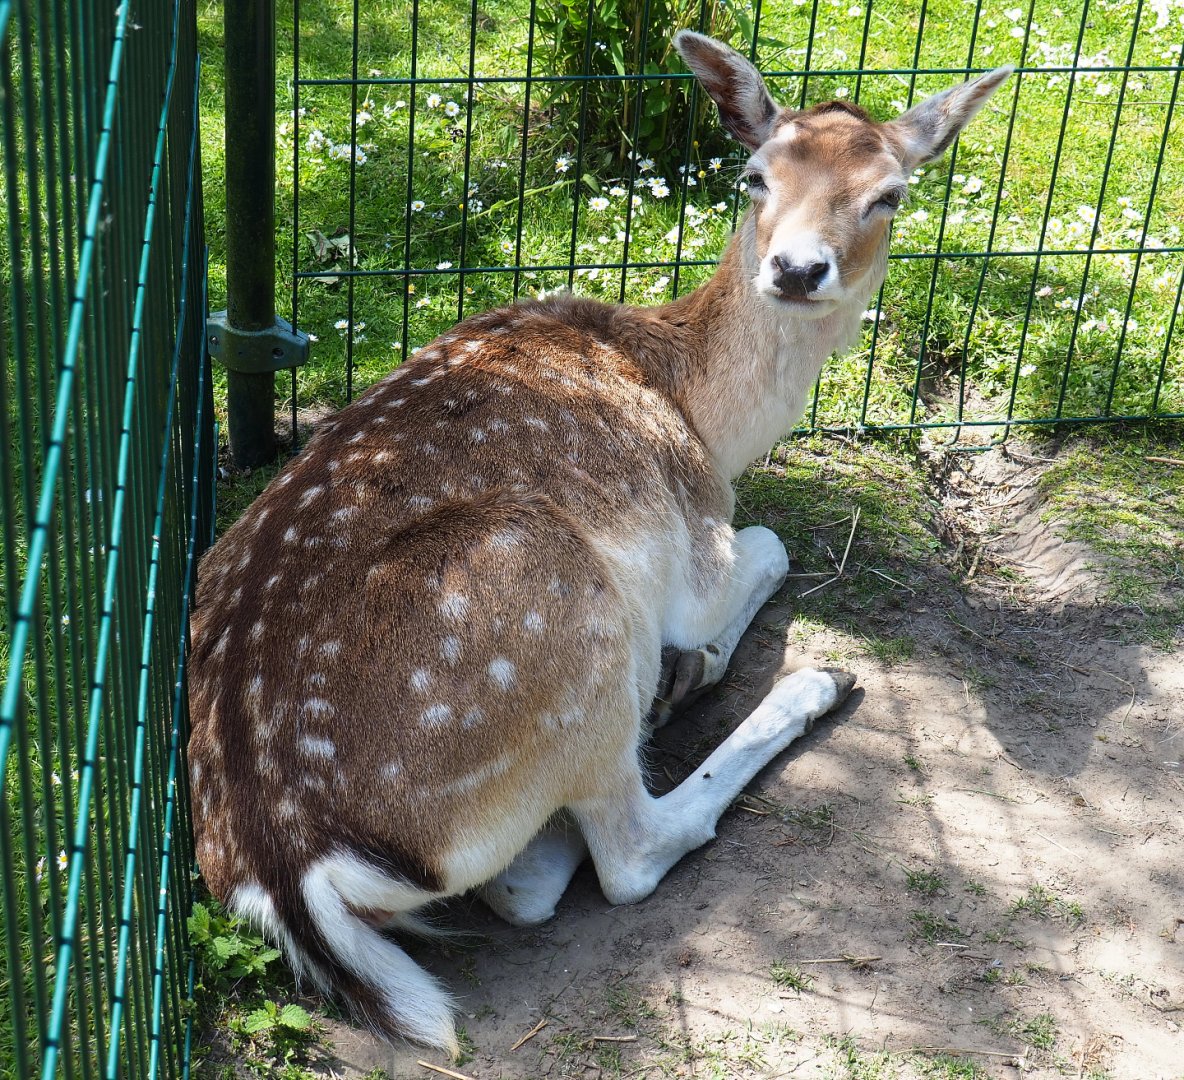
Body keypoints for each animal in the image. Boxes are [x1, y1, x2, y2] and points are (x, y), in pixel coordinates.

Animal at [187, 32, 1011, 1055]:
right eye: (755, 174)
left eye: (888, 193)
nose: (794, 268)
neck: (702, 413)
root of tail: (287, 869)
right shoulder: (698, 535)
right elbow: (770, 542)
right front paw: (725, 646)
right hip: (565, 615)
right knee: (629, 852)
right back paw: (792, 684)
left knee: (525, 882)